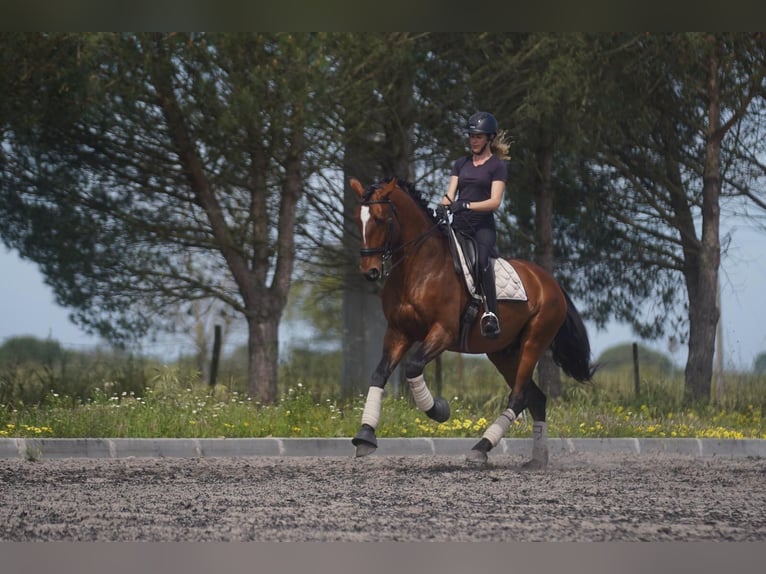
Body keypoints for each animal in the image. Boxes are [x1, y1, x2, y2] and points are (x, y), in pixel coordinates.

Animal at [352, 177, 596, 468]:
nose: (369, 271)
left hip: (534, 341)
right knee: (535, 398)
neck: (418, 267)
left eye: (380, 218)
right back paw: (536, 461)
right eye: (358, 218)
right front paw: (365, 436)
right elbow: (379, 374)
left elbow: (412, 367)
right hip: (502, 352)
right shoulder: (399, 332)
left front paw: (439, 410)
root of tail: (550, 282)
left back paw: (480, 448)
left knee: (519, 397)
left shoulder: (443, 332)